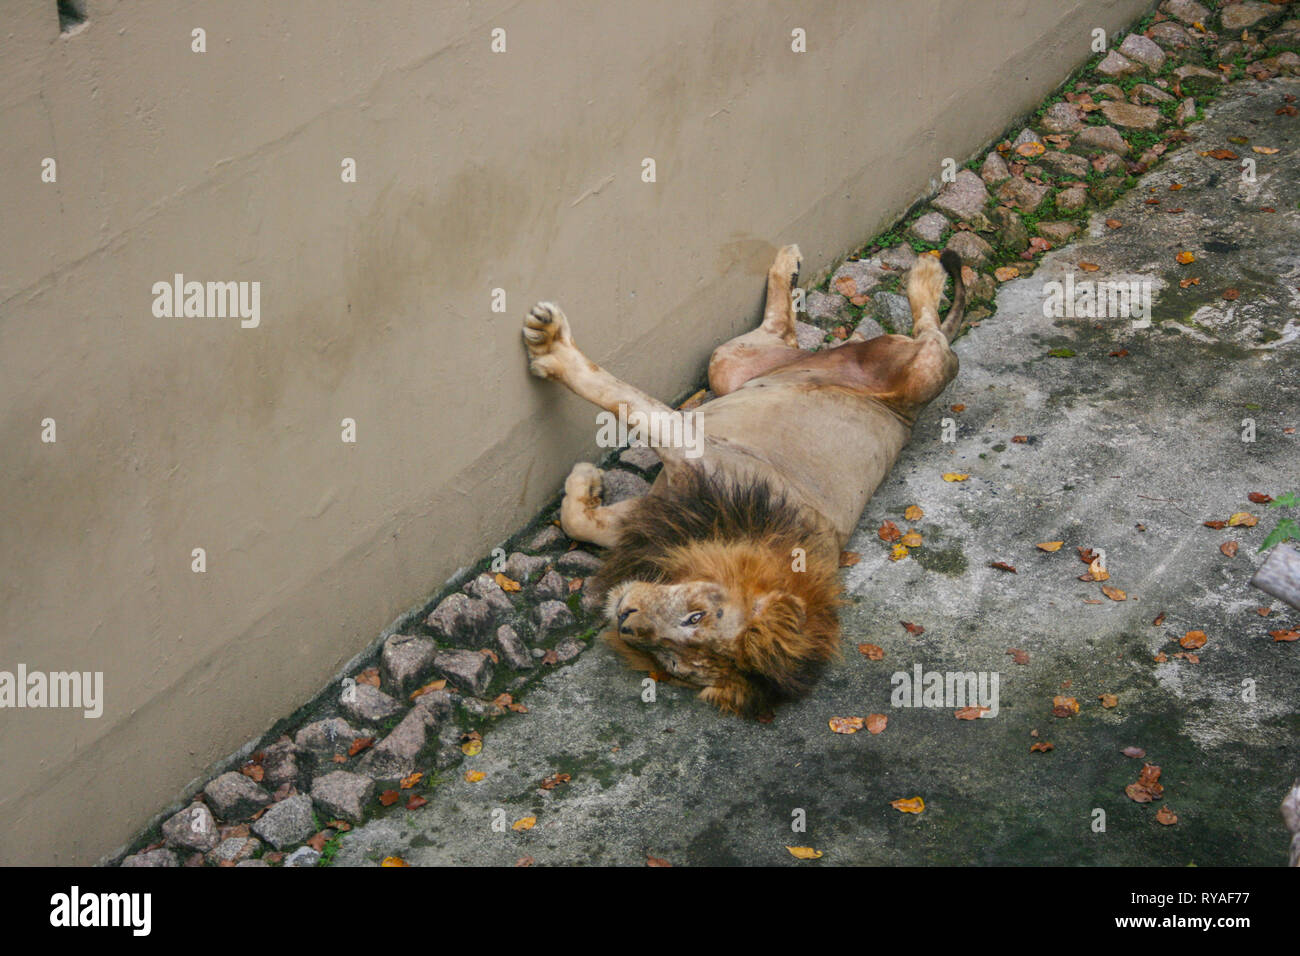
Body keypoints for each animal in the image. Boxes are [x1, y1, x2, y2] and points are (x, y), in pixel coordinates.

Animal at [522, 244, 966, 716]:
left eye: (674, 660)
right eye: (695, 616)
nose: (624, 619)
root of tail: (910, 415)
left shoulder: (665, 495)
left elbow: (616, 405)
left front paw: (551, 358)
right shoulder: (679, 481)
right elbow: (617, 408)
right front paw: (586, 474)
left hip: (887, 372)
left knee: (926, 341)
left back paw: (915, 274)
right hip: (734, 367)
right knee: (884, 334)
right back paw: (889, 270)